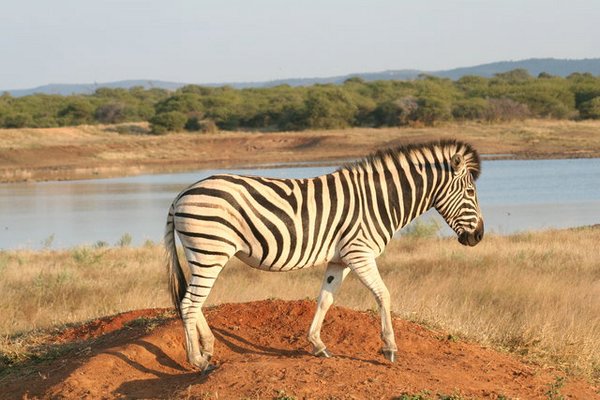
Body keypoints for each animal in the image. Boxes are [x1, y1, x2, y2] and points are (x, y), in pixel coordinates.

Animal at [164, 138, 482, 372]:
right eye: (470, 192)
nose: (478, 237)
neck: (379, 200)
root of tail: (181, 194)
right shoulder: (359, 252)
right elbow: (383, 294)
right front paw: (389, 347)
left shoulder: (340, 259)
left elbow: (325, 299)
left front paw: (317, 344)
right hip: (210, 251)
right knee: (190, 303)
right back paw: (197, 360)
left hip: (202, 253)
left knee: (191, 300)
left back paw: (208, 346)